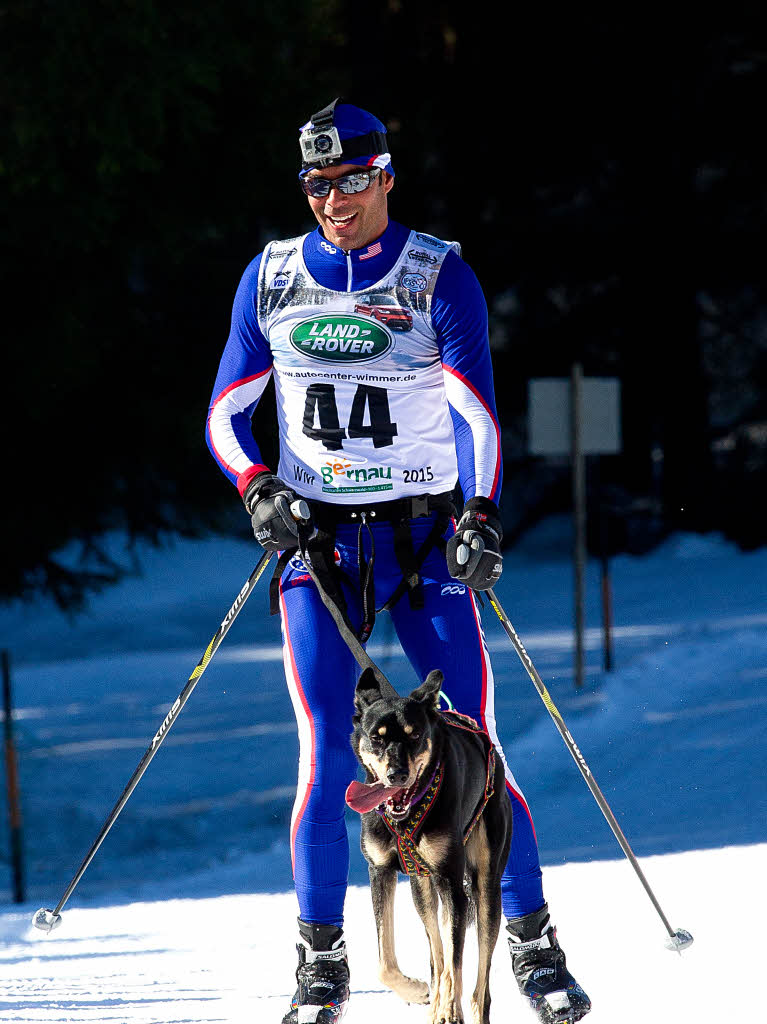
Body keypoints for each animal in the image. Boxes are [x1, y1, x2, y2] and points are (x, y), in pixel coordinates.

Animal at [346, 667, 512, 1024]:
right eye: (377, 737)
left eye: (415, 735)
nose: (397, 774)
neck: (404, 818)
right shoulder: (379, 871)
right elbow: (386, 963)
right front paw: (418, 991)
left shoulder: (451, 880)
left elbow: (454, 963)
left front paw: (449, 1007)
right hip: (421, 888)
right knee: (437, 947)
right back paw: (435, 999)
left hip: (485, 889)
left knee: (478, 987)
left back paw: (459, 1005)